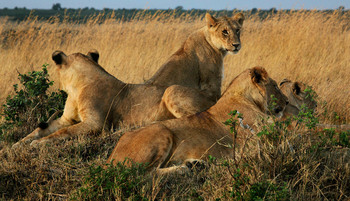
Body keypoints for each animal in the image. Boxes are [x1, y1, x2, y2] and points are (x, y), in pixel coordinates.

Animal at [13, 50, 213, 148]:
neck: (76, 88)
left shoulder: (96, 123)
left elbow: (65, 132)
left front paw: (39, 143)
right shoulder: (66, 119)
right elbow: (40, 130)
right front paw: (19, 143)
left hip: (171, 91)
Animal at [106, 66, 288, 174]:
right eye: (275, 86)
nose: (287, 102)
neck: (248, 98)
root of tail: (110, 158)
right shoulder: (251, 145)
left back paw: (195, 164)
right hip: (162, 131)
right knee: (145, 174)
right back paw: (185, 168)